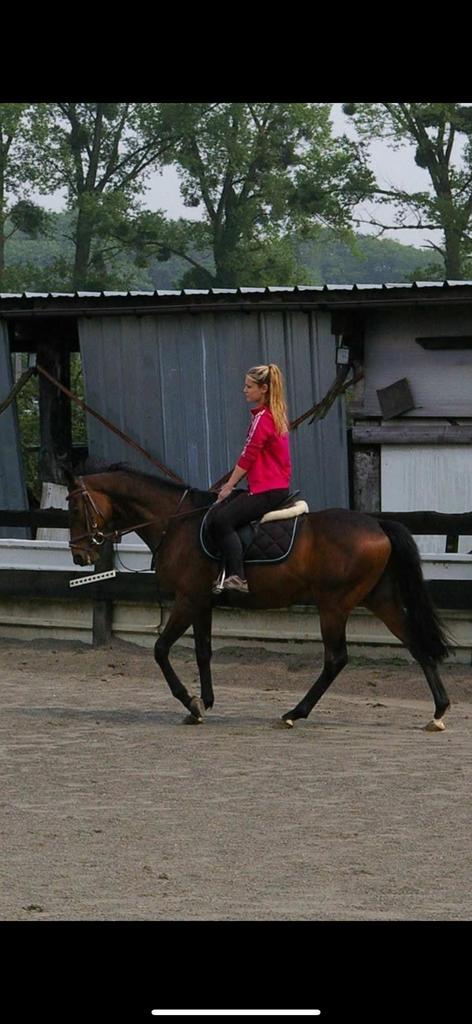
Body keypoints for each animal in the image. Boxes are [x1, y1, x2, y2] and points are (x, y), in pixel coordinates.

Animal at [66, 466, 452, 732]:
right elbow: (203, 651)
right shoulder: (201, 602)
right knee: (417, 645)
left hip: (334, 605)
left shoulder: (187, 600)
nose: (79, 556)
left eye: (74, 508)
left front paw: (191, 703)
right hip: (380, 600)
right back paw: (438, 712)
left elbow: (161, 650)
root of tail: (377, 525)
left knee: (336, 659)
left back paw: (294, 713)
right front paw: (205, 702)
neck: (177, 522)